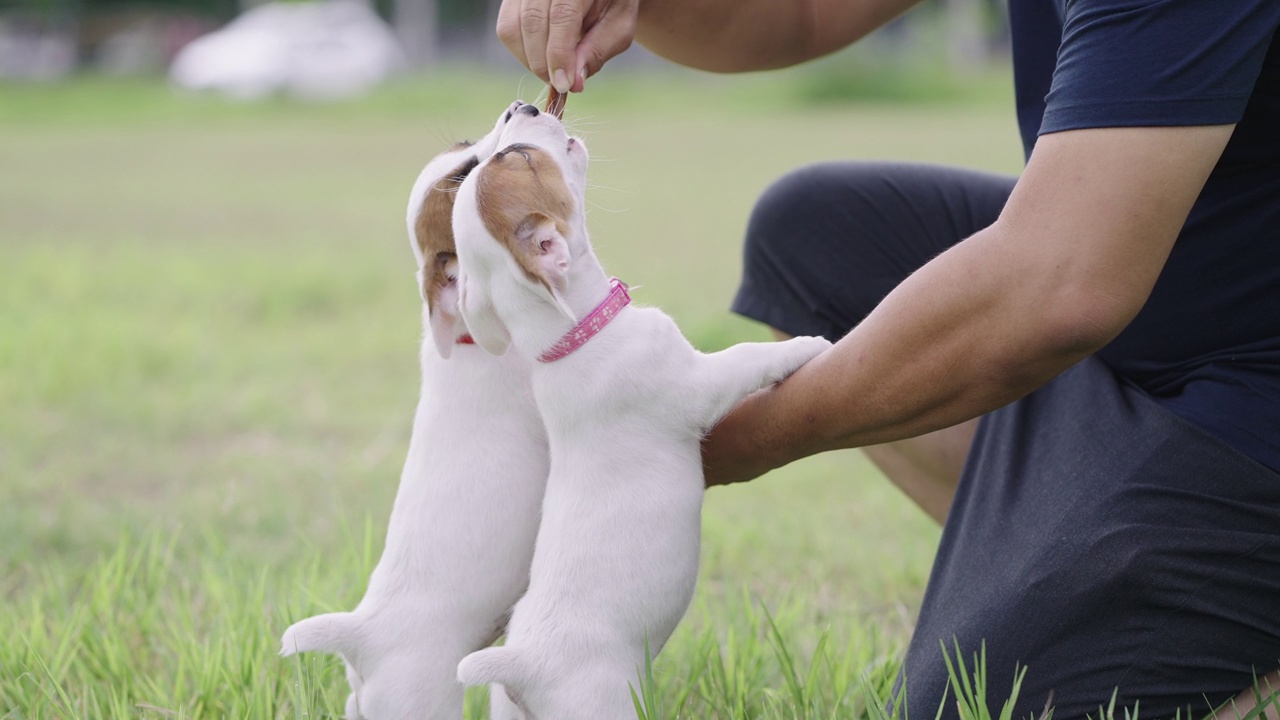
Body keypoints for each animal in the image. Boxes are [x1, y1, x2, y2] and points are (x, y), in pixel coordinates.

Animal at [450, 102, 829, 717]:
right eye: (522, 157)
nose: (521, 107)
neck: (571, 336)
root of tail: (522, 665)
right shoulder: (698, 384)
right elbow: (747, 357)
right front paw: (805, 347)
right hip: (604, 702)